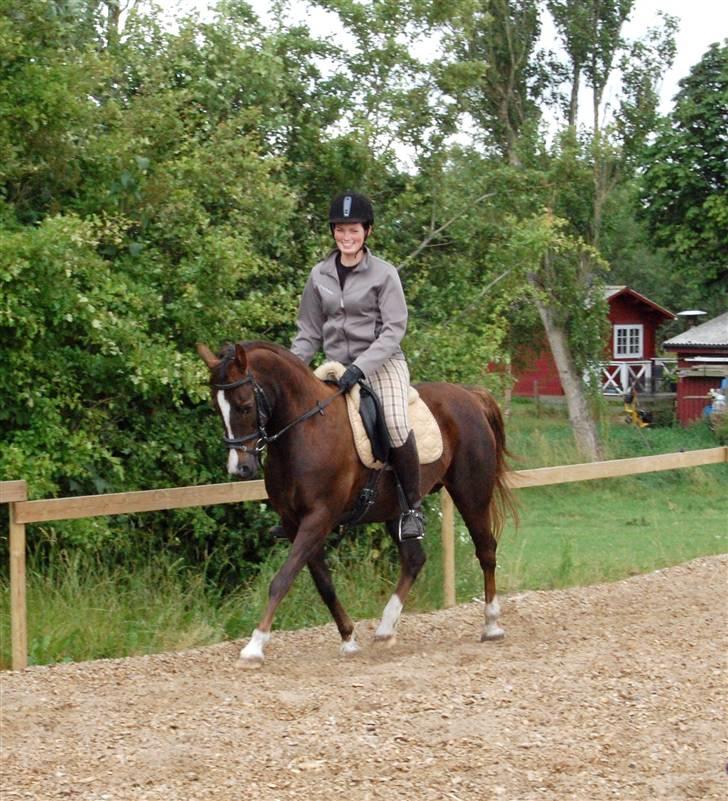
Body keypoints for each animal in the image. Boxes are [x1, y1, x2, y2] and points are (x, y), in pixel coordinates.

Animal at [196, 340, 516, 664]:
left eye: (244, 405)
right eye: (217, 408)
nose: (240, 468)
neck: (305, 431)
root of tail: (469, 395)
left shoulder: (318, 518)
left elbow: (282, 580)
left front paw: (255, 645)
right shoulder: (295, 522)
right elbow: (324, 584)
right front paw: (348, 639)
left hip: (470, 493)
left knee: (486, 550)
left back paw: (491, 624)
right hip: (395, 509)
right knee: (414, 559)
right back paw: (386, 628)